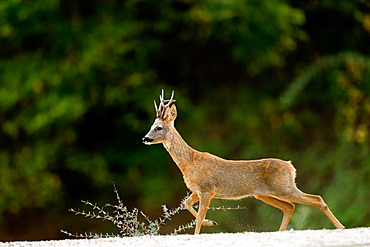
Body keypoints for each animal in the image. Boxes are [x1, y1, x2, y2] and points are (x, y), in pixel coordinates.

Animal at [142, 89, 344, 234]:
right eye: (151, 126)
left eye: (158, 127)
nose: (145, 138)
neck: (189, 162)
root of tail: (290, 166)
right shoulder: (197, 190)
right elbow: (186, 204)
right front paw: (211, 222)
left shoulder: (208, 188)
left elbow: (198, 216)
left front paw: (200, 231)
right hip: (263, 194)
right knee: (290, 207)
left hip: (284, 187)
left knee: (316, 199)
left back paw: (341, 227)